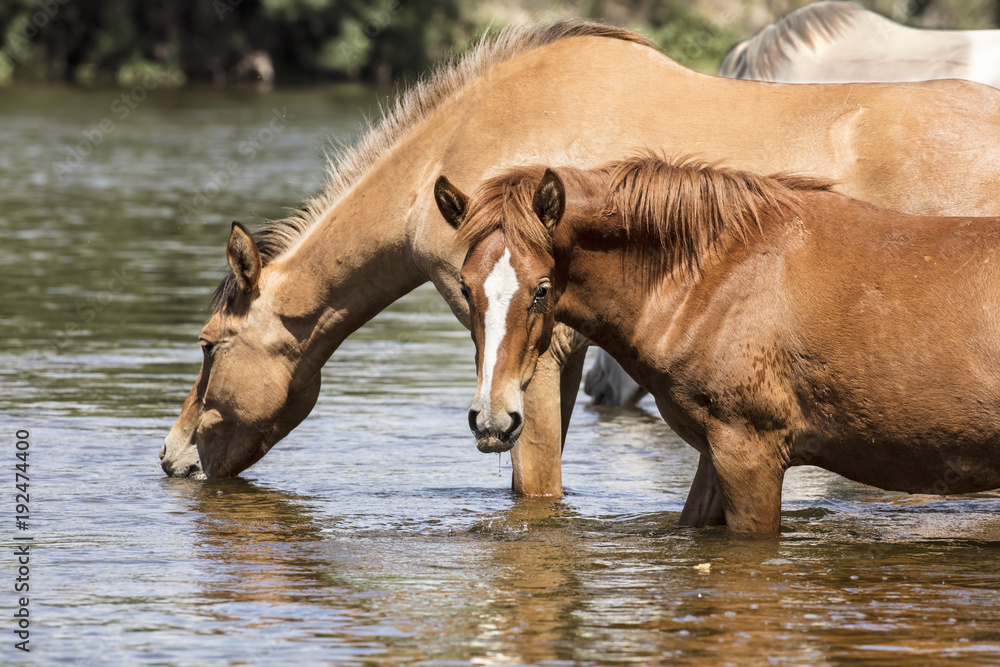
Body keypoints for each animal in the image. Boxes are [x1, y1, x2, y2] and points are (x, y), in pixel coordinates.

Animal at [436, 156, 1000, 534]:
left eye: (541, 289)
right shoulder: (716, 453)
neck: (721, 275)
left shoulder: (751, 457)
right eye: (465, 286)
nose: (492, 420)